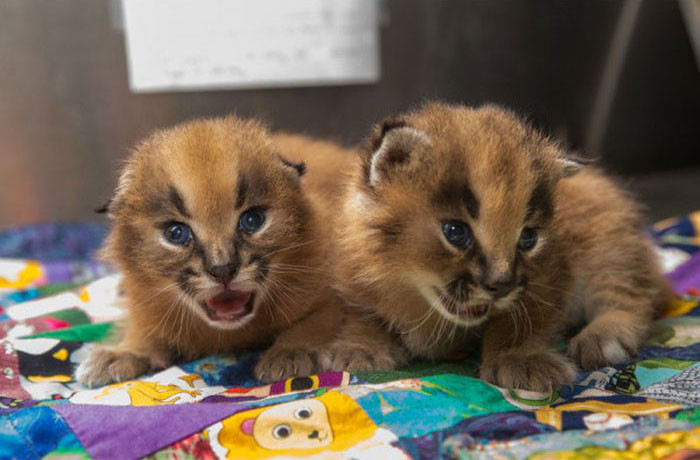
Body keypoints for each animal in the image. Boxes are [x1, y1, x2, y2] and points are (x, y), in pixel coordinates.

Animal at [75, 116, 346, 388]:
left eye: (252, 220)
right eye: (176, 233)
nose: (222, 269)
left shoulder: (334, 289)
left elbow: (317, 320)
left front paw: (290, 352)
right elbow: (143, 327)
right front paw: (123, 351)